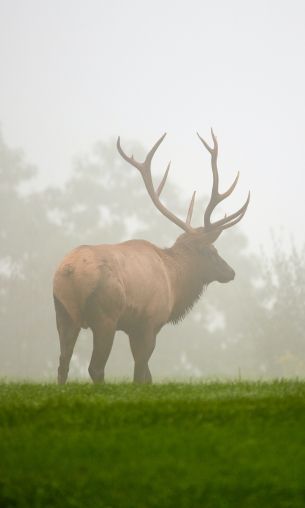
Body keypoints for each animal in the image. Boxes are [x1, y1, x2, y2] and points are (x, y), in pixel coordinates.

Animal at [53, 129, 248, 382]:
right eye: (211, 251)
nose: (231, 272)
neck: (175, 282)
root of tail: (69, 271)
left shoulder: (134, 327)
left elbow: (147, 375)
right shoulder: (149, 322)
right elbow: (141, 374)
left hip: (63, 313)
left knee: (63, 364)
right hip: (105, 316)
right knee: (95, 367)